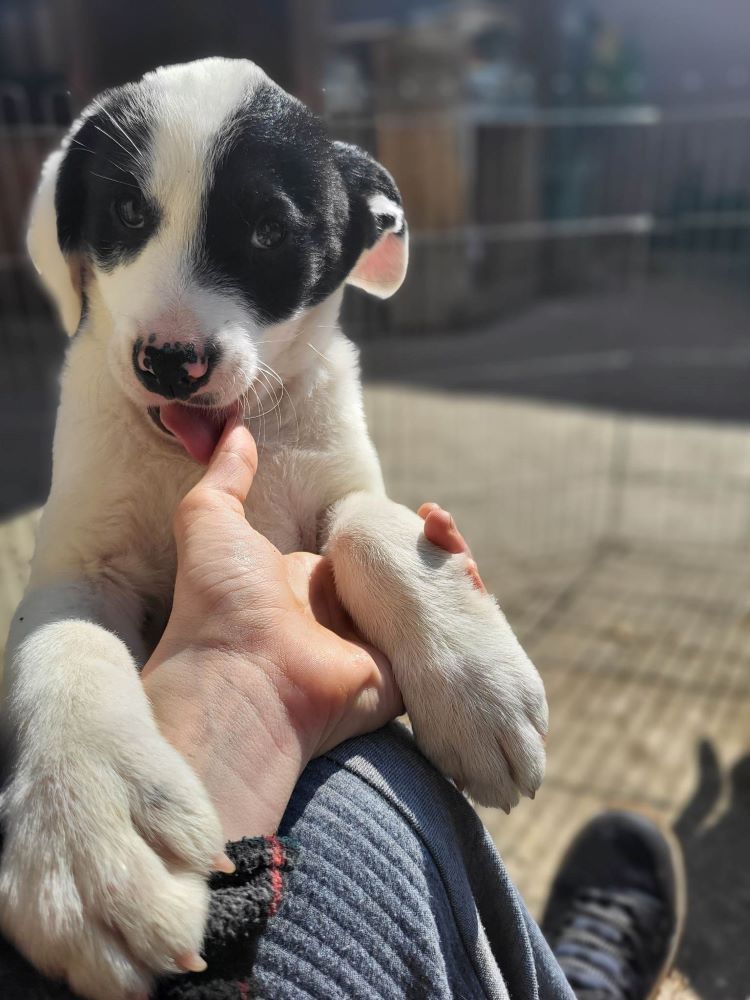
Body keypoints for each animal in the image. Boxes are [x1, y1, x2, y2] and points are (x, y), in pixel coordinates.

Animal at [0, 58, 548, 996]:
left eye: (266, 232)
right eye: (128, 215)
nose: (169, 362)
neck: (197, 451)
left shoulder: (338, 481)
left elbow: (371, 525)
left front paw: (474, 681)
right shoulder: (77, 565)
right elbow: (66, 646)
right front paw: (85, 832)